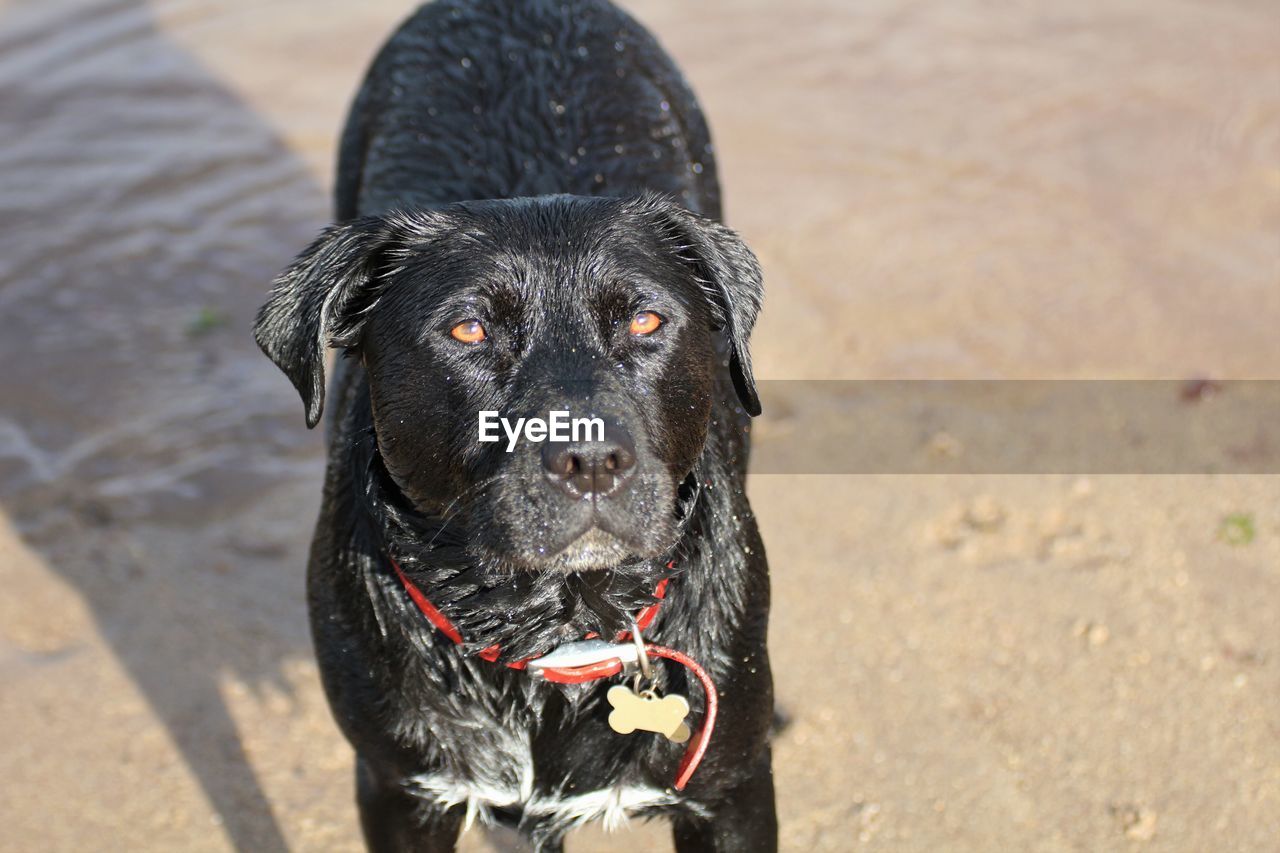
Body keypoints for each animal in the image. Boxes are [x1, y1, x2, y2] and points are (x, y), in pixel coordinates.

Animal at [249, 3, 768, 845]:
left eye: (647, 320)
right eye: (468, 331)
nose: (590, 460)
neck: (553, 629)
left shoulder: (732, 793)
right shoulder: (399, 787)